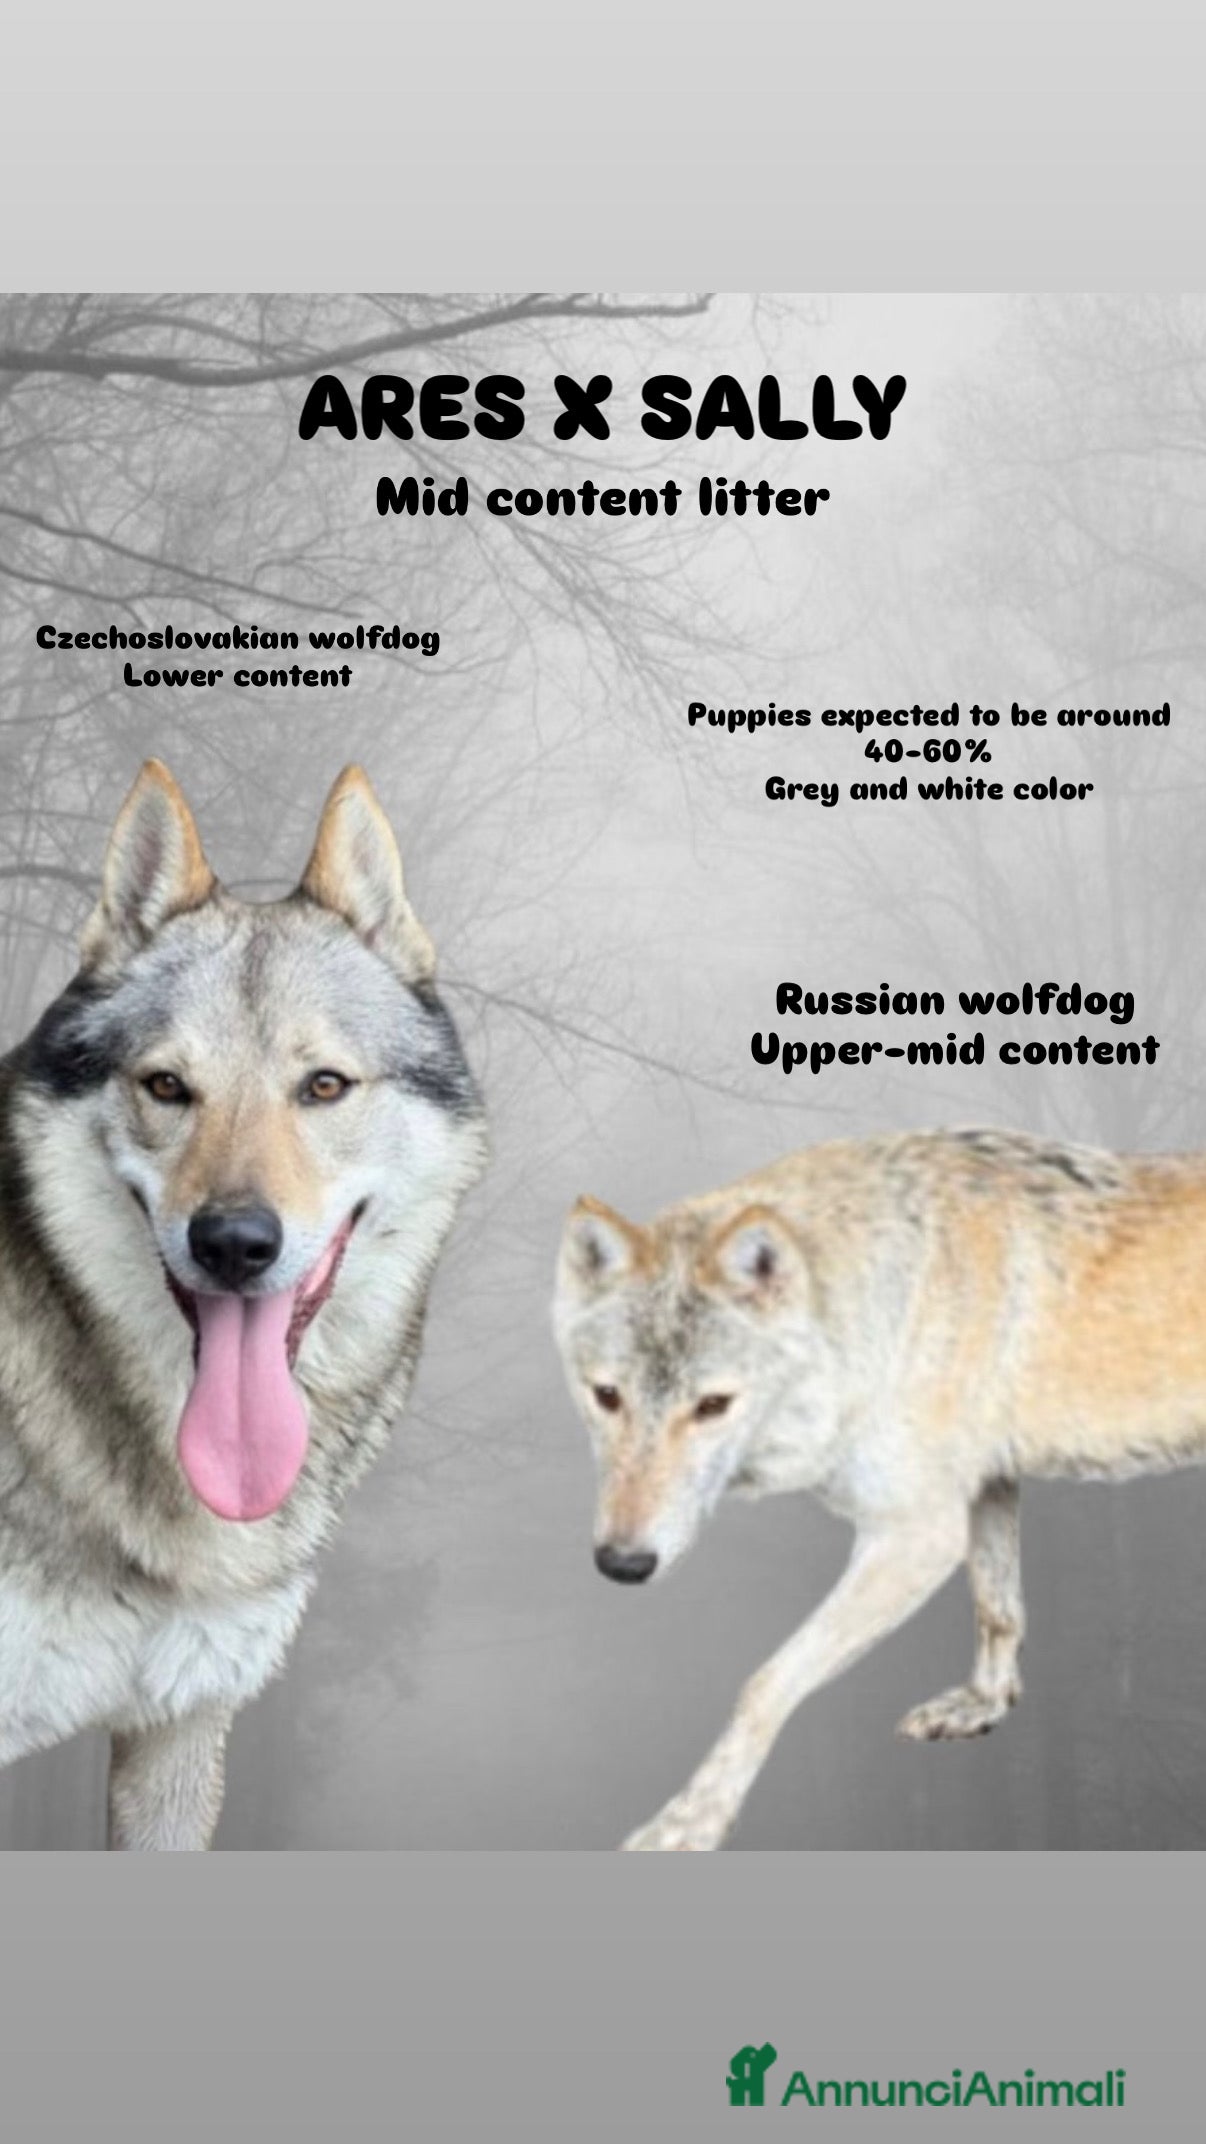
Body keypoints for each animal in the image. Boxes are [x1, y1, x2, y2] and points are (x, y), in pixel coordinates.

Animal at [554, 1127, 1206, 1849]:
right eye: (607, 1396)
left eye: (713, 1406)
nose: (622, 1564)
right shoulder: (985, 1490)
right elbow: (998, 1610)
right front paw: (984, 1706)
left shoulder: (917, 1534)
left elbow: (765, 1682)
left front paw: (689, 1822)